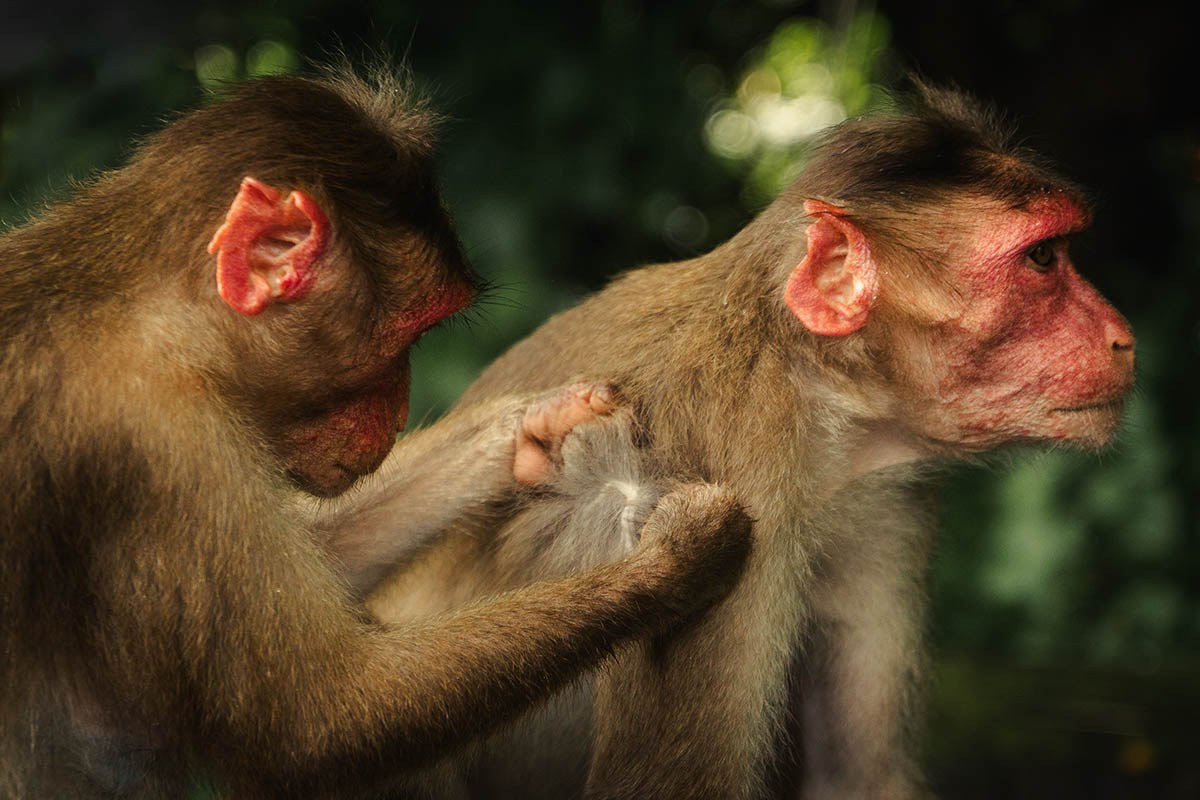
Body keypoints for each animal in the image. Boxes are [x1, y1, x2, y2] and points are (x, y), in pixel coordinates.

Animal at [0, 68, 755, 799]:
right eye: (409, 335)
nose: (397, 415)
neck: (164, 322)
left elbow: (325, 560)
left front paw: (535, 426)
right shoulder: (157, 438)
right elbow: (322, 723)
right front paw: (673, 559)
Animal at [348, 83, 1136, 798]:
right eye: (1043, 260)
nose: (1124, 338)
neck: (816, 389)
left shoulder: (882, 495)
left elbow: (859, 777)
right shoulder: (725, 455)